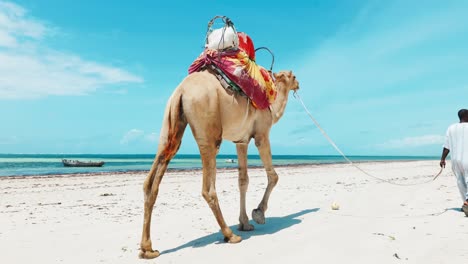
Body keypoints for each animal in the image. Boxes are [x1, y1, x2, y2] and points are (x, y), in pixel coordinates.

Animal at [139, 69, 300, 258]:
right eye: (294, 76)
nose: (299, 84)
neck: (271, 108)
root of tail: (181, 91)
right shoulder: (261, 134)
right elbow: (273, 176)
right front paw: (258, 213)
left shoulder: (241, 141)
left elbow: (243, 181)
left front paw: (245, 223)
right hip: (208, 129)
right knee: (208, 189)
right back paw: (230, 235)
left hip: (170, 125)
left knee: (152, 179)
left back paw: (147, 249)